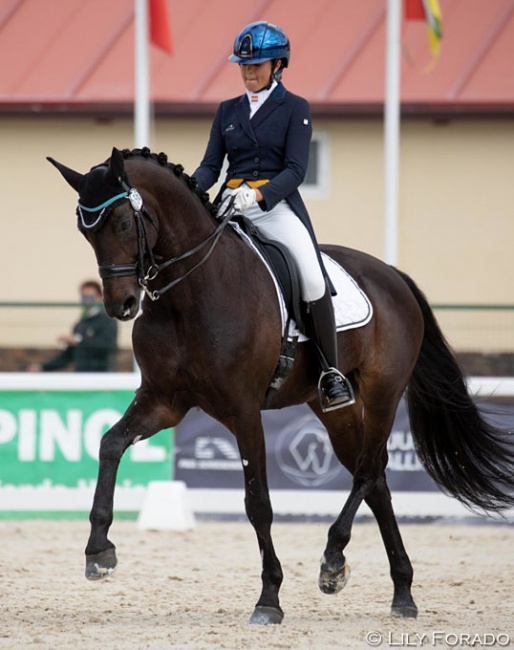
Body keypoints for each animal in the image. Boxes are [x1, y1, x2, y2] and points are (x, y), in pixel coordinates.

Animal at [47, 146, 512, 624]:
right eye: (85, 231)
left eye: (123, 223)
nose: (120, 305)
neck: (188, 294)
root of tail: (391, 274)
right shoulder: (164, 401)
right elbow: (109, 444)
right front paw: (99, 551)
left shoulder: (243, 411)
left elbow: (258, 503)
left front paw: (269, 598)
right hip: (334, 409)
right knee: (377, 478)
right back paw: (400, 591)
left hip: (384, 392)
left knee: (368, 470)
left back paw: (333, 561)